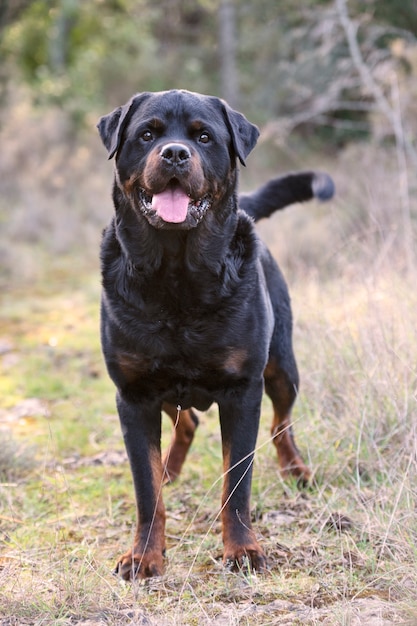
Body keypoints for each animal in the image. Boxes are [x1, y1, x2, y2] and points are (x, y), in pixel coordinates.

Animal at [96, 89, 334, 580]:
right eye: (147, 134)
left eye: (203, 136)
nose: (174, 153)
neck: (175, 276)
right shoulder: (133, 394)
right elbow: (146, 490)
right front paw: (144, 555)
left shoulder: (242, 390)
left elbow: (236, 485)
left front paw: (242, 550)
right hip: (166, 388)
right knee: (186, 421)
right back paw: (170, 468)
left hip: (281, 366)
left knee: (282, 421)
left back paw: (296, 470)